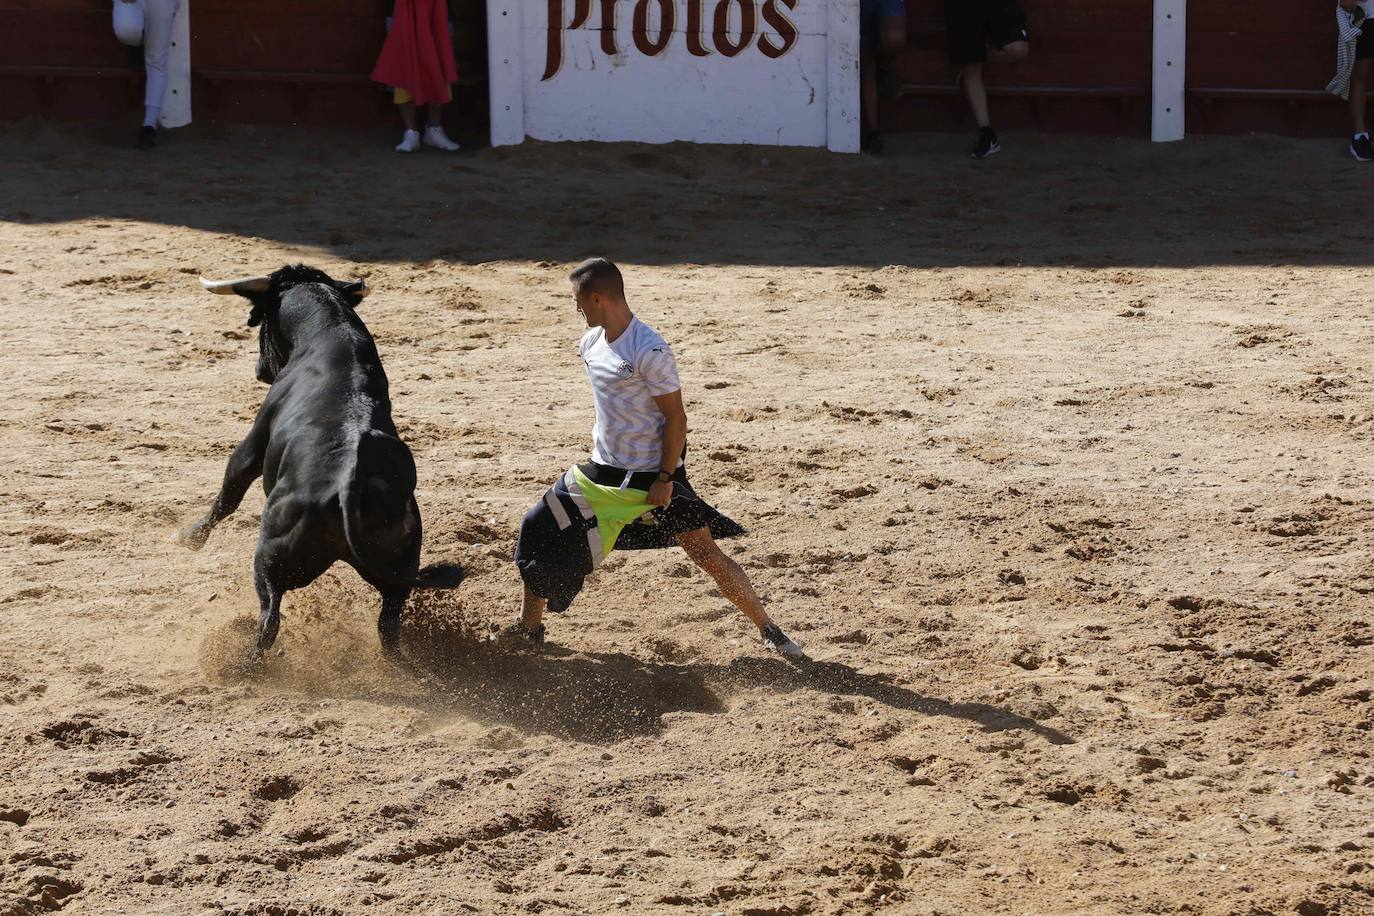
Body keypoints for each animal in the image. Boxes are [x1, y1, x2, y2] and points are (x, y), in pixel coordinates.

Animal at [178, 265, 461, 659]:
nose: (259, 371)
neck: (329, 333)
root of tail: (347, 487)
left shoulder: (253, 443)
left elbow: (229, 493)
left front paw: (190, 537)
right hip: (397, 570)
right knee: (388, 626)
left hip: (270, 559)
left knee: (270, 617)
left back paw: (245, 662)